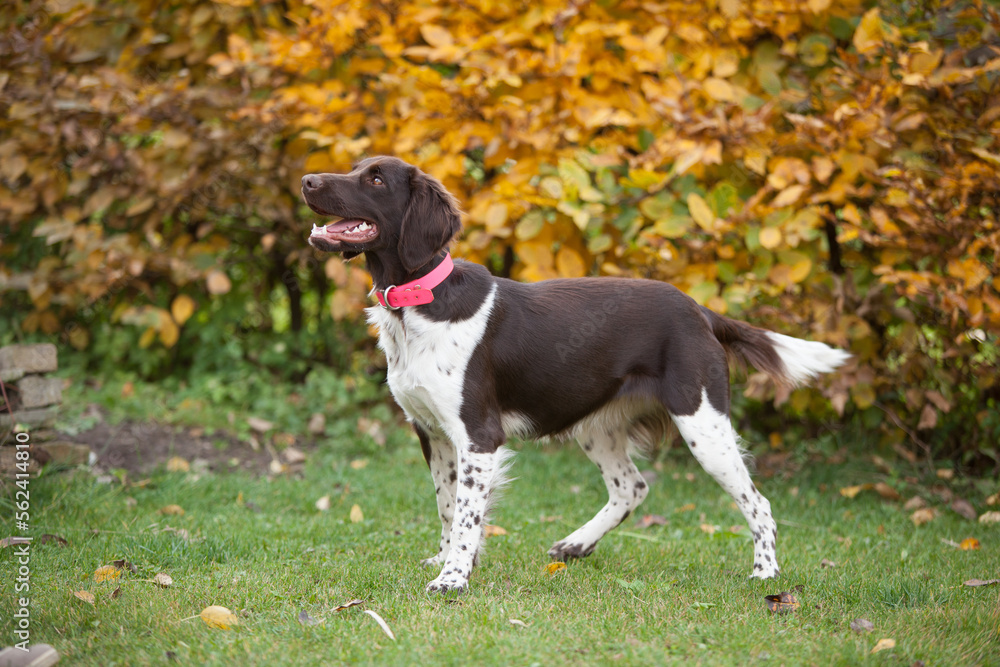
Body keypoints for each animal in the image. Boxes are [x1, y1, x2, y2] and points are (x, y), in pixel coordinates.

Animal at [300, 157, 848, 596]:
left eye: (374, 179)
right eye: (355, 167)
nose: (306, 180)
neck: (420, 302)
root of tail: (700, 310)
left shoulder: (478, 435)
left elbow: (467, 515)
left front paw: (452, 579)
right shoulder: (432, 433)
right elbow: (449, 508)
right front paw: (450, 561)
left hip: (702, 421)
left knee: (758, 500)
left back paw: (766, 573)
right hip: (598, 425)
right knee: (632, 487)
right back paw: (576, 544)